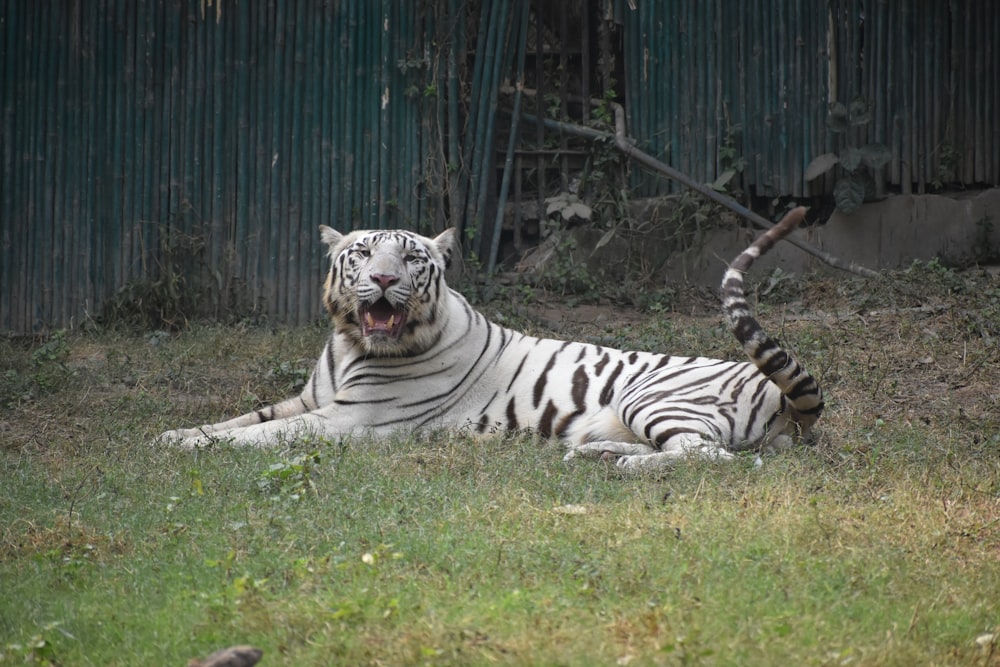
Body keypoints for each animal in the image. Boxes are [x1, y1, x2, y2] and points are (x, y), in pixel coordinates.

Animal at [160, 206, 824, 472]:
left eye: (410, 258)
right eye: (363, 254)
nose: (384, 280)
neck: (352, 345)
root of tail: (784, 399)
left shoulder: (350, 418)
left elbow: (263, 435)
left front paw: (186, 448)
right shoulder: (310, 399)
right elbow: (242, 418)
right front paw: (170, 435)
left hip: (654, 398)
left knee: (709, 458)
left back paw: (621, 468)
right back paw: (598, 456)